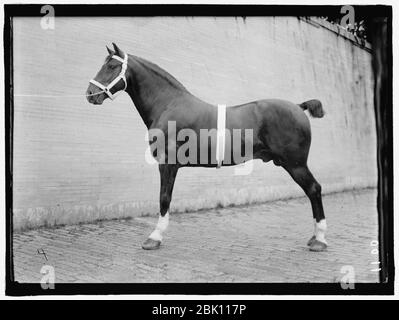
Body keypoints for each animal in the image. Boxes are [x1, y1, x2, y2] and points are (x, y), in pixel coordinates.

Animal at [86, 43, 328, 252]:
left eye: (111, 66)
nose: (90, 94)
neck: (168, 105)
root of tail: (298, 107)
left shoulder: (167, 164)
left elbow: (164, 198)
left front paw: (154, 238)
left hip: (296, 164)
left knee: (314, 189)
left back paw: (320, 240)